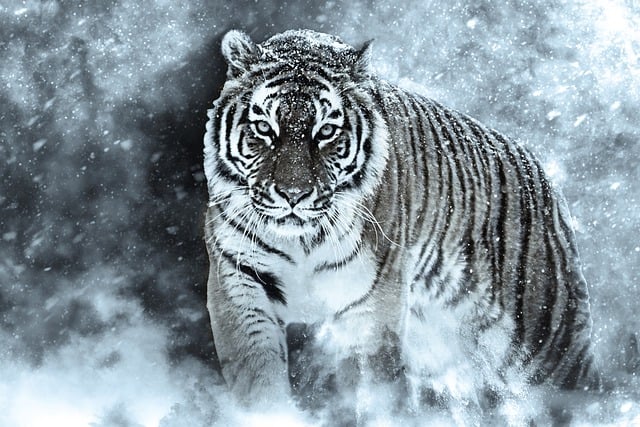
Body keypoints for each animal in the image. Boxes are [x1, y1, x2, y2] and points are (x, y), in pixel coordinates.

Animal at [202, 29, 600, 419]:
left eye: (326, 131)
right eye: (263, 128)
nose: (293, 194)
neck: (302, 241)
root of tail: (540, 170)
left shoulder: (372, 307)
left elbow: (373, 391)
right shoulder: (239, 283)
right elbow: (258, 381)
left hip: (548, 342)